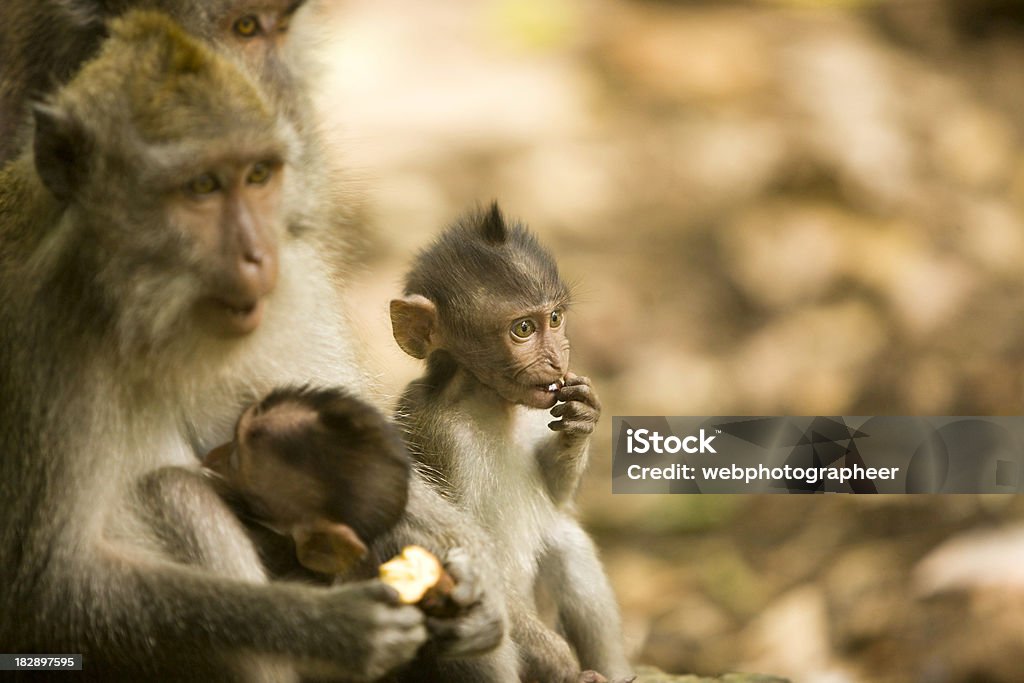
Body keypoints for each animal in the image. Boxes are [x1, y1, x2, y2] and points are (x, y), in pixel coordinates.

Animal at [389, 202, 630, 683]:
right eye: (522, 329)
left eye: (555, 319)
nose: (557, 360)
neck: (491, 403)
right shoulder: (438, 437)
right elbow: (458, 549)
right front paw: (563, 662)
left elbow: (558, 500)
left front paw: (583, 419)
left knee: (566, 541)